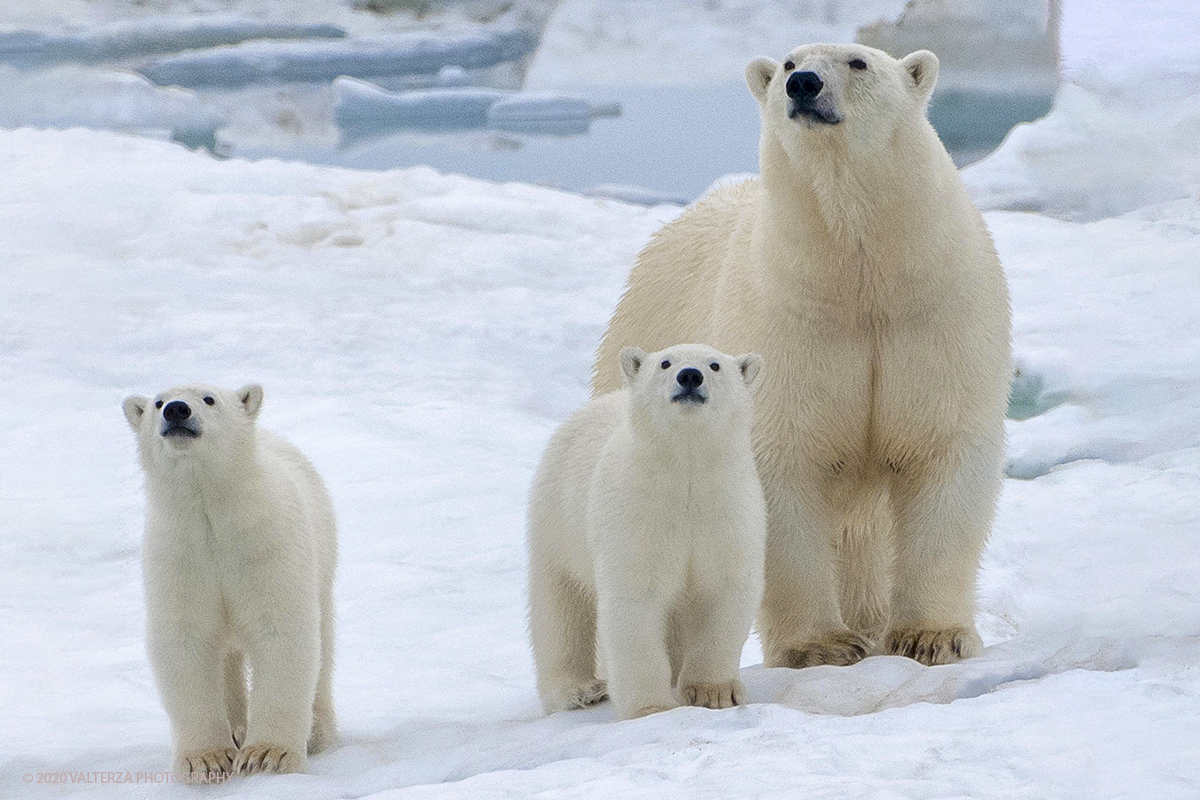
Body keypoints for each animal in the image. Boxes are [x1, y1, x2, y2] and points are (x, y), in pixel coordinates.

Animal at [124, 383, 338, 777]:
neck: (211, 513)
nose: (177, 410)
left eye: (209, 398)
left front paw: (268, 755)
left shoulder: (265, 544)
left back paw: (316, 731)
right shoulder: (180, 556)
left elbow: (281, 631)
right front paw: (206, 760)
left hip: (323, 560)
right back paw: (237, 729)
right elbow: (186, 639)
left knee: (323, 642)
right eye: (158, 403)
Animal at [528, 345, 768, 719]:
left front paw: (714, 692)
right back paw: (579, 690)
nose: (689, 376)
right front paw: (651, 708)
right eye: (665, 363)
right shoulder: (636, 513)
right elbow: (635, 599)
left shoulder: (728, 512)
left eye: (714, 365)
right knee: (559, 610)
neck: (686, 471)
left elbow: (725, 590)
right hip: (556, 523)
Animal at [595, 43, 1008, 671]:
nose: (804, 84)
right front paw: (821, 645)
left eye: (858, 61)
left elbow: (943, 449)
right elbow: (782, 465)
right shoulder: (787, 322)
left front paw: (930, 636)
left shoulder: (936, 315)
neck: (861, 275)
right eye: (789, 62)